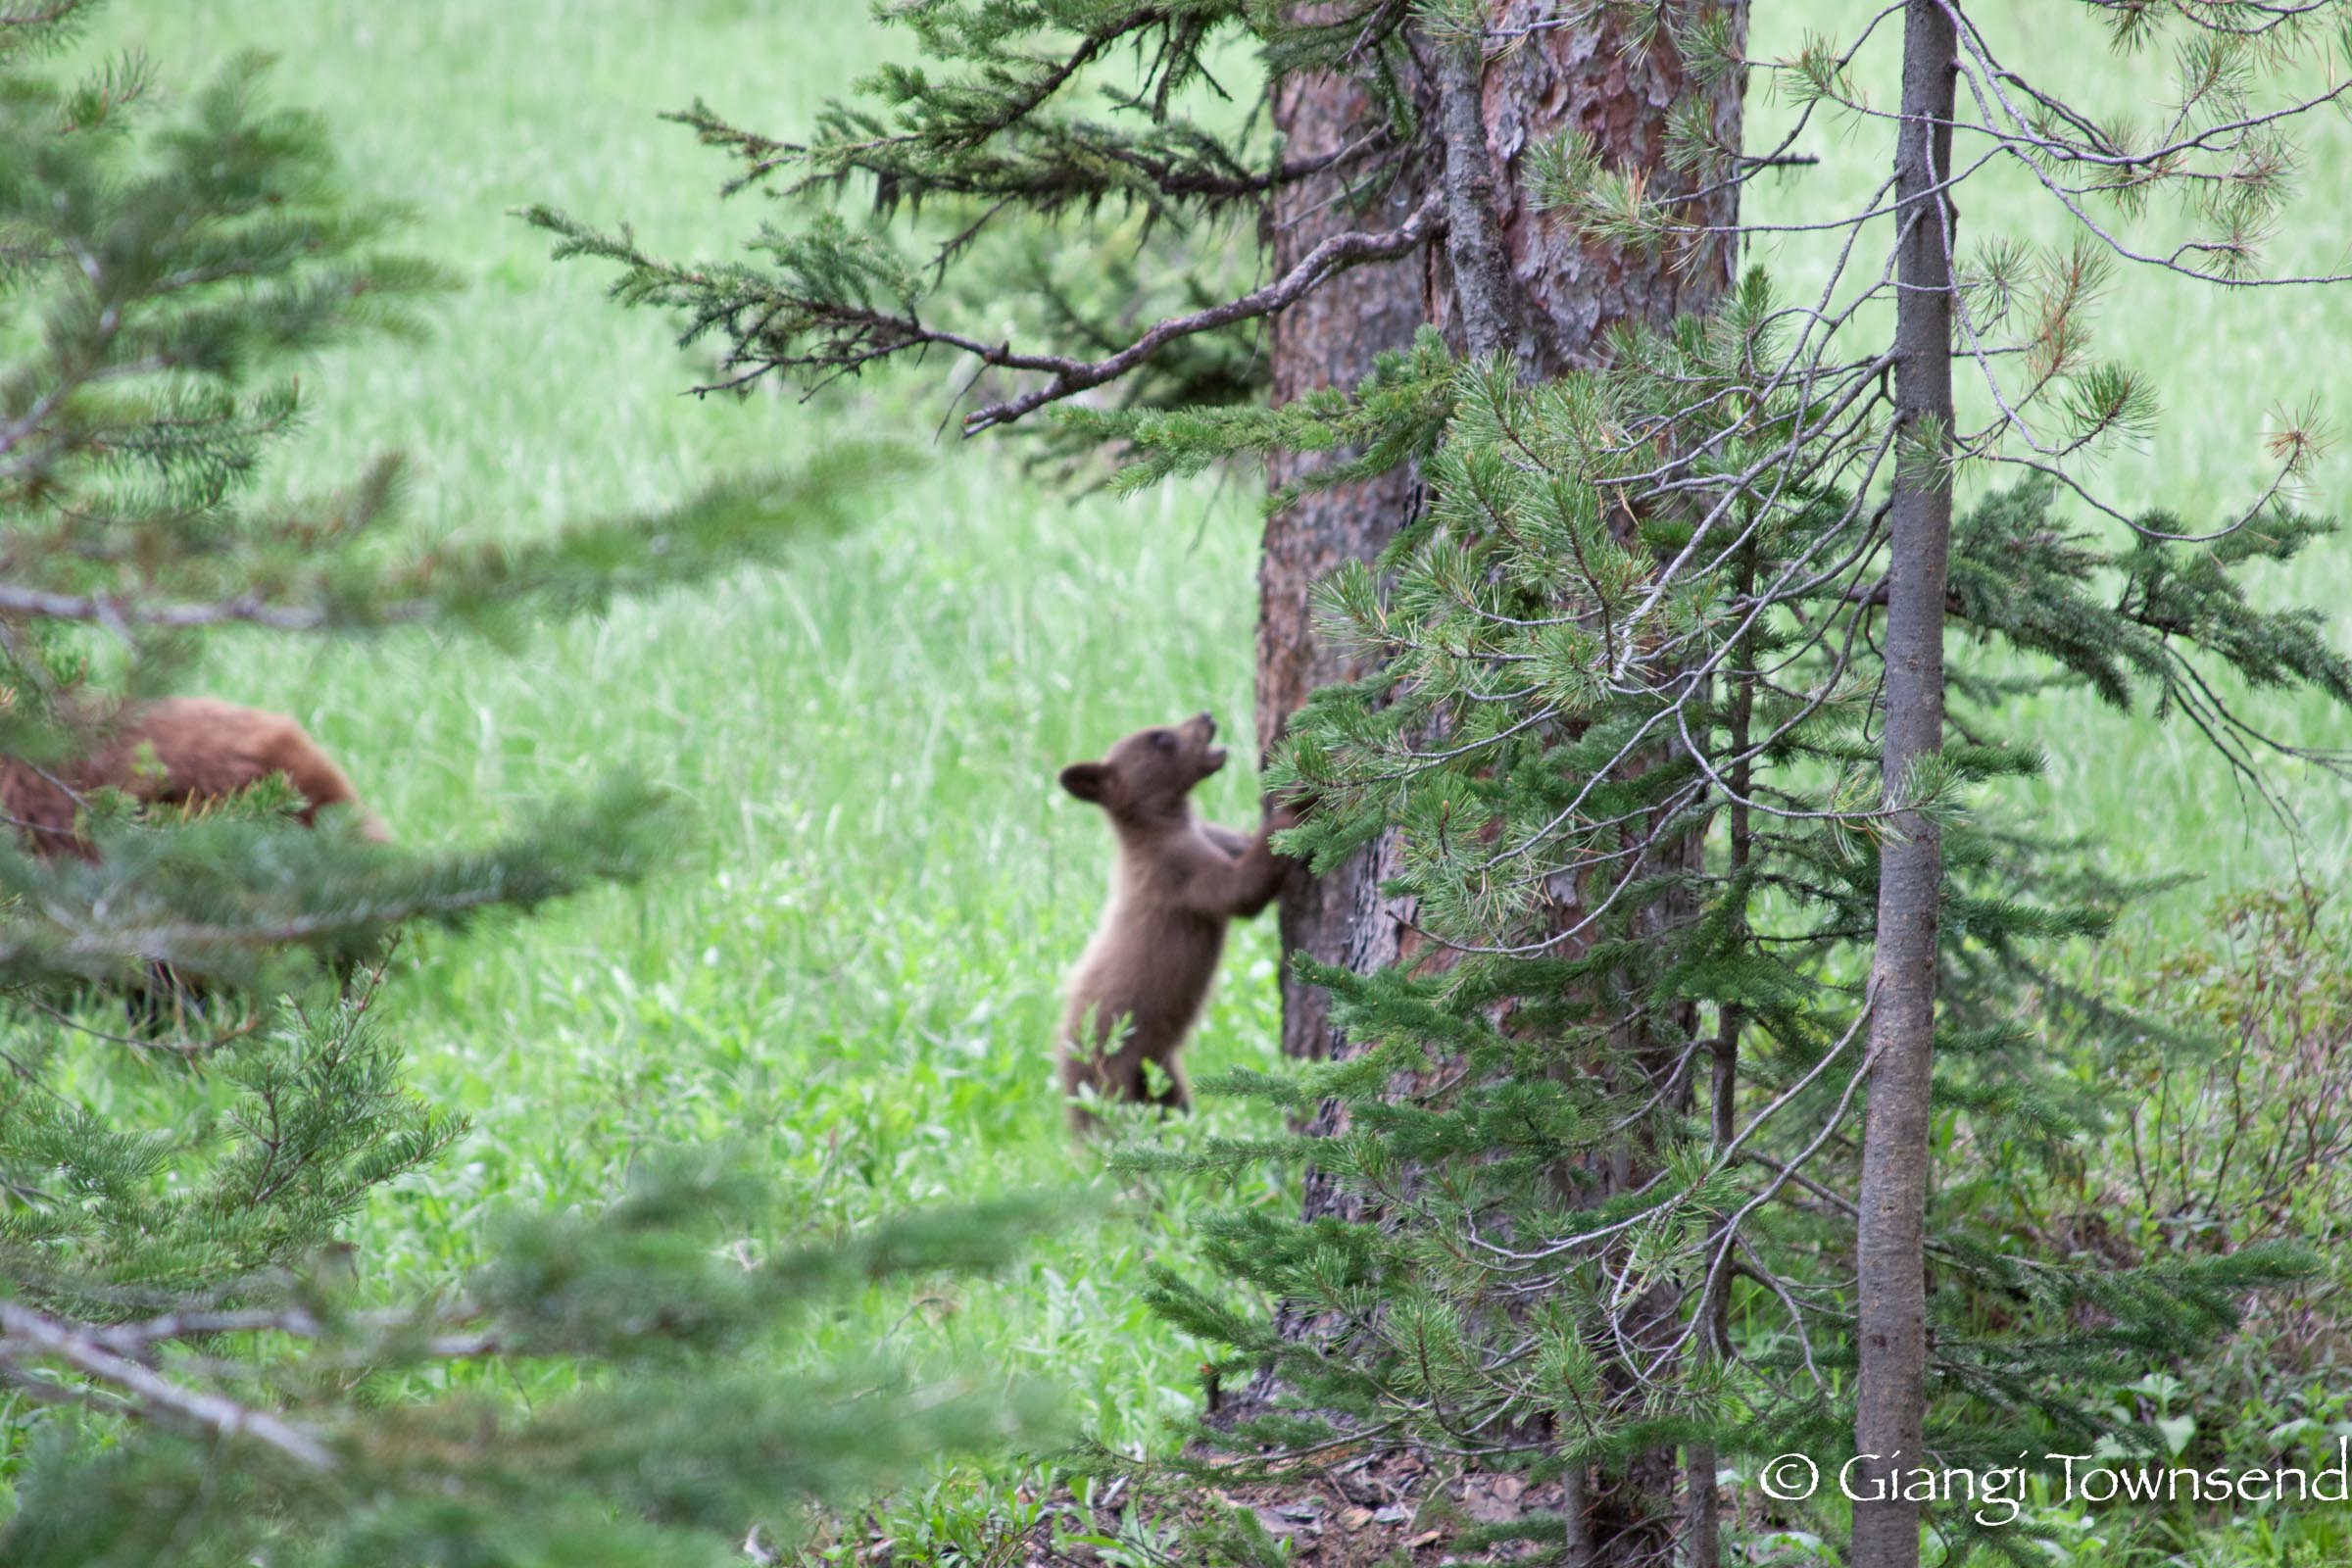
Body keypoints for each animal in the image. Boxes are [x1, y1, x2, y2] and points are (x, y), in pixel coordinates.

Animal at [1058, 719, 1298, 1133]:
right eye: (1161, 738)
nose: (1207, 716)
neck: (1167, 825)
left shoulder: (1211, 837)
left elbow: (1239, 842)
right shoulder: (1178, 871)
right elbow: (1239, 890)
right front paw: (1297, 806)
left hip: (1160, 1071)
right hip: (1109, 1076)